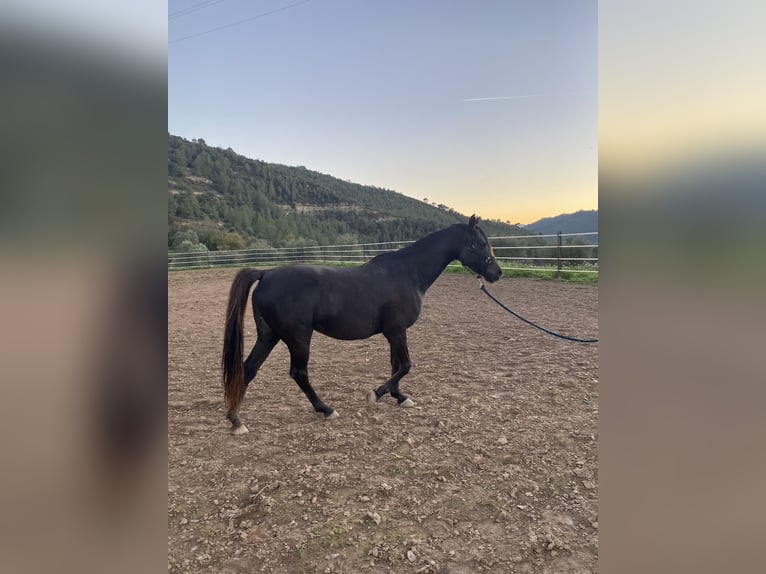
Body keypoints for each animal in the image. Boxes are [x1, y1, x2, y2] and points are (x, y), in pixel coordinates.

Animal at [220, 216, 504, 436]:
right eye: (479, 244)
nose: (497, 273)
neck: (408, 272)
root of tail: (266, 273)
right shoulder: (397, 331)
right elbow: (406, 365)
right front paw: (377, 394)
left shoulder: (393, 333)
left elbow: (395, 364)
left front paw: (399, 397)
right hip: (298, 338)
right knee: (298, 373)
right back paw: (326, 409)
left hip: (269, 335)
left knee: (249, 369)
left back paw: (236, 420)